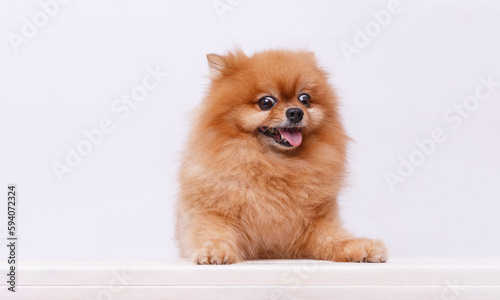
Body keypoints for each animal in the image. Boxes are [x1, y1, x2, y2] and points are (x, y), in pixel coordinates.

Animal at [175, 49, 386, 264]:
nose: (296, 112)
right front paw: (213, 251)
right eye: (266, 103)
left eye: (304, 99)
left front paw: (359, 247)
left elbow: (334, 238)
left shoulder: (315, 221)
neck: (275, 164)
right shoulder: (212, 212)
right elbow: (213, 233)